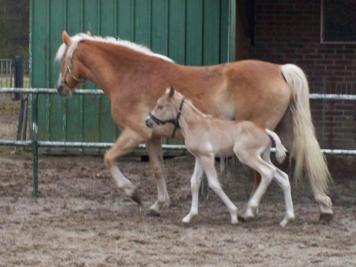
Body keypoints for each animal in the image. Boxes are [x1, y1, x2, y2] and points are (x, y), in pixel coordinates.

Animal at [145, 89, 294, 227]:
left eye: (160, 106)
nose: (147, 121)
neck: (196, 125)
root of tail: (265, 131)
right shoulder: (199, 157)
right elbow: (194, 182)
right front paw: (189, 216)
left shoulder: (208, 157)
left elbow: (214, 183)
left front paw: (233, 214)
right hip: (264, 156)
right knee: (282, 177)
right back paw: (287, 218)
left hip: (246, 156)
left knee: (267, 172)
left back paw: (251, 209)